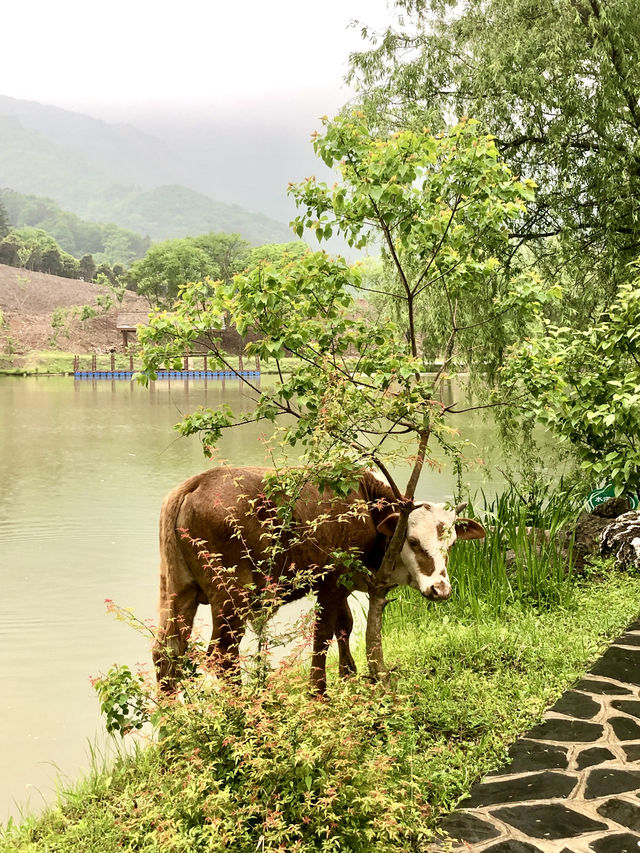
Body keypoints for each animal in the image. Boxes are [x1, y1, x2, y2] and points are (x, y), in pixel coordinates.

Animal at [154, 466, 484, 692]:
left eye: (452, 543)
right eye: (413, 541)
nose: (440, 589)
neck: (366, 506)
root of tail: (197, 483)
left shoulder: (344, 583)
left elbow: (344, 625)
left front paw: (348, 674)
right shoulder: (333, 581)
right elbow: (323, 634)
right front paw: (319, 692)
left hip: (177, 589)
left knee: (167, 654)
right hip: (231, 595)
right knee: (222, 655)